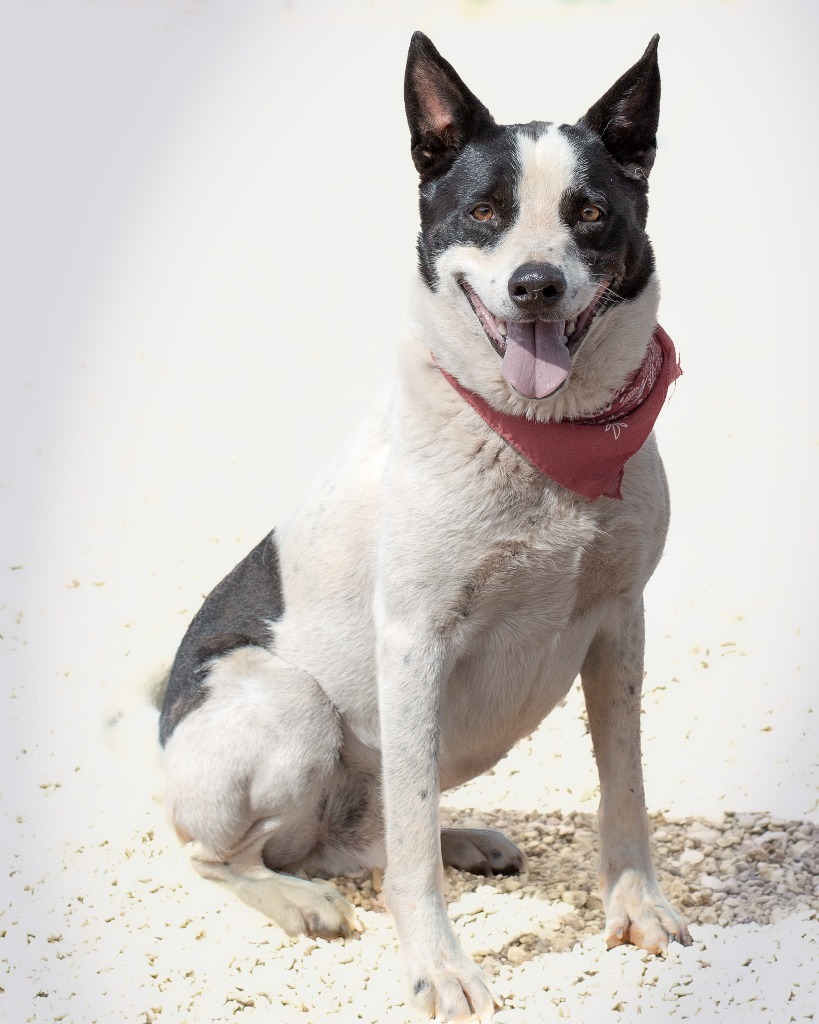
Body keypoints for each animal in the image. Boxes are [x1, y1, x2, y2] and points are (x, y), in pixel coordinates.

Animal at [158, 32, 692, 1024]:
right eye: (482, 211)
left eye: (590, 214)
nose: (534, 285)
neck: (540, 440)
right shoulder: (412, 641)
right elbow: (407, 848)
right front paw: (438, 967)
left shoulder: (620, 622)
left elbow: (624, 788)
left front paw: (637, 906)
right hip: (290, 707)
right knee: (230, 853)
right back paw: (298, 900)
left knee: (357, 838)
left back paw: (460, 838)